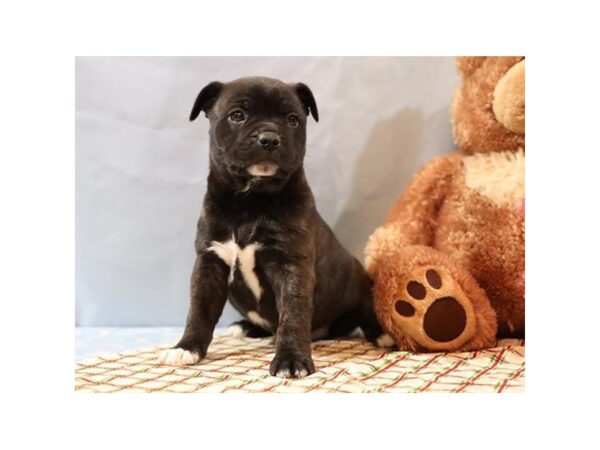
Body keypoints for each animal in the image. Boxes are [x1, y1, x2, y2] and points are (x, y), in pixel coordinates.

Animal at [158, 77, 388, 378]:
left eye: (292, 119)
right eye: (237, 115)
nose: (268, 138)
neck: (251, 202)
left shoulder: (291, 265)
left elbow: (292, 313)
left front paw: (291, 359)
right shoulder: (210, 262)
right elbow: (199, 310)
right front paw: (186, 347)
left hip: (358, 282)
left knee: (366, 310)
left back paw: (383, 335)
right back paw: (246, 327)